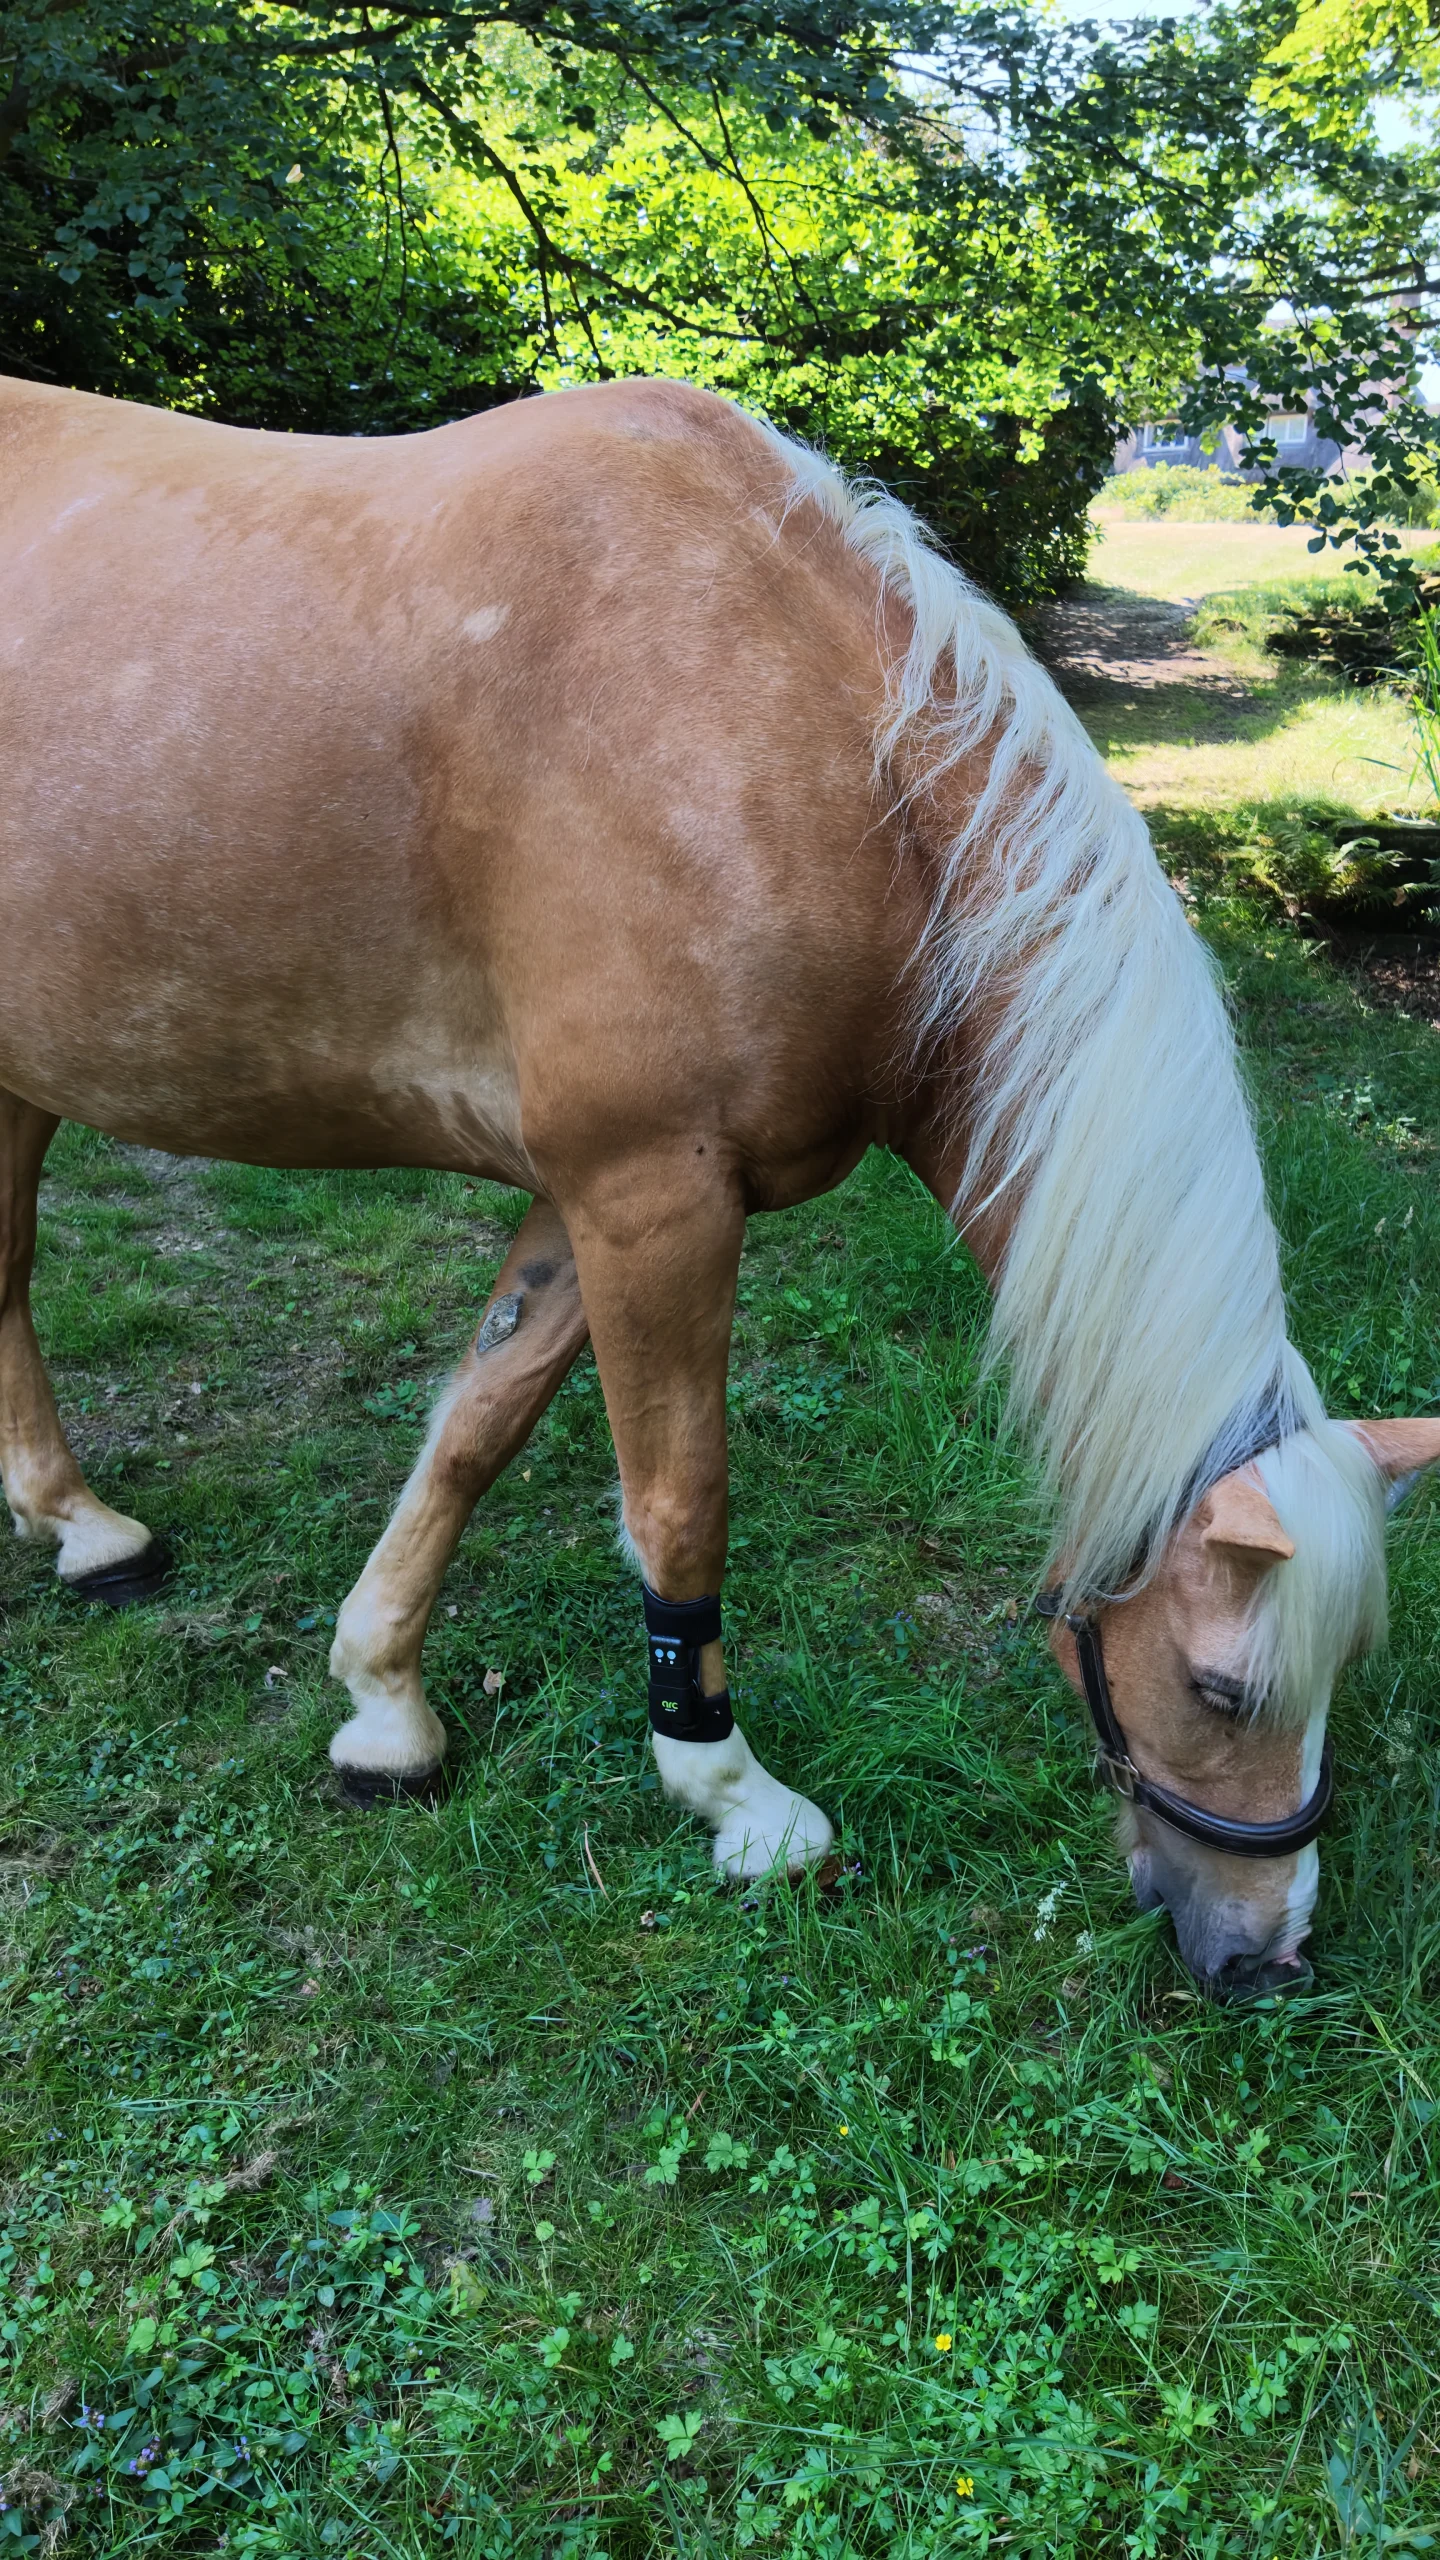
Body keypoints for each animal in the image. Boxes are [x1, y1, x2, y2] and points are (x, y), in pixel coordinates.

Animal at [1, 370, 1435, 2001]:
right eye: (1220, 1685)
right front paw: (731, 1794)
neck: (799, 740)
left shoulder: (587, 1203)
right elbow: (678, 1504)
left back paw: (75, 1523)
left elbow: (475, 1426)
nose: (1268, 1955)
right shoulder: (654, 1196)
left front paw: (381, 1704)